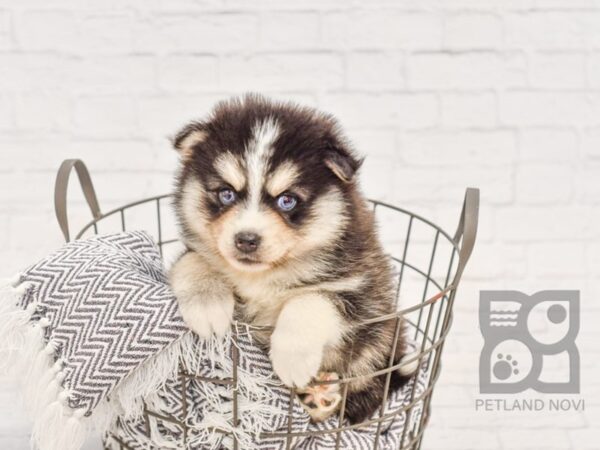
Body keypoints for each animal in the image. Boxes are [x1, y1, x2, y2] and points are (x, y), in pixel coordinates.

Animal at [166, 95, 414, 426]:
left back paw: (321, 397)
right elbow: (193, 262)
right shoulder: (195, 250)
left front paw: (291, 358)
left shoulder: (362, 289)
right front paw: (207, 307)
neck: (264, 276)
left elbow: (309, 300)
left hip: (380, 341)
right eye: (226, 194)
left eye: (287, 200)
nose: (246, 239)